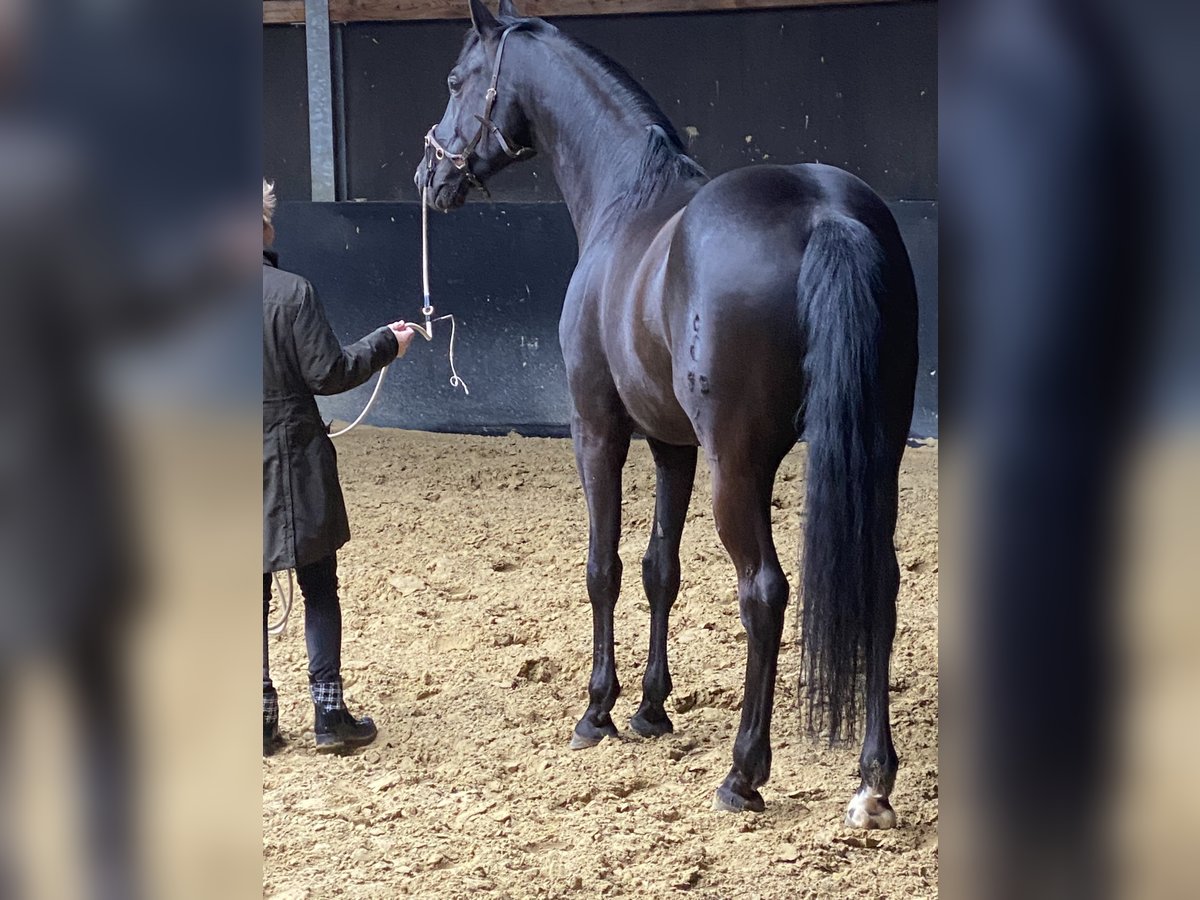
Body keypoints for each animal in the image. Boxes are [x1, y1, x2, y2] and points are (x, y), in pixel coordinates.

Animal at [417, 1, 912, 830]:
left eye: (457, 79)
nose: (430, 174)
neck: (628, 199)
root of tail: (826, 214)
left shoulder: (598, 431)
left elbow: (605, 567)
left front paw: (598, 711)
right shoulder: (672, 446)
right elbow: (660, 569)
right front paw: (651, 708)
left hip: (736, 467)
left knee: (764, 592)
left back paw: (744, 774)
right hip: (876, 455)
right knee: (879, 581)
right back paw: (873, 780)